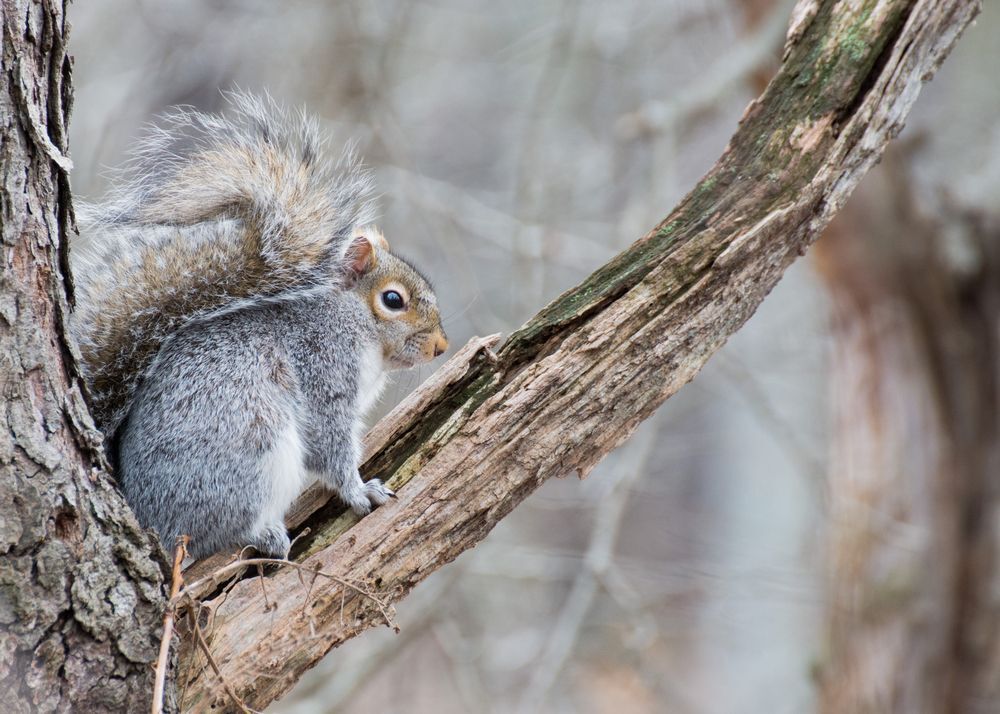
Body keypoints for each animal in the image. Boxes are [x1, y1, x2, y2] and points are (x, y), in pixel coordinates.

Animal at [71, 92, 448, 559]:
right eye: (393, 300)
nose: (441, 346)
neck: (349, 322)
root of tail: (147, 517)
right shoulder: (321, 368)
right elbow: (330, 447)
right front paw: (361, 491)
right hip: (251, 453)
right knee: (215, 533)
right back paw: (263, 535)